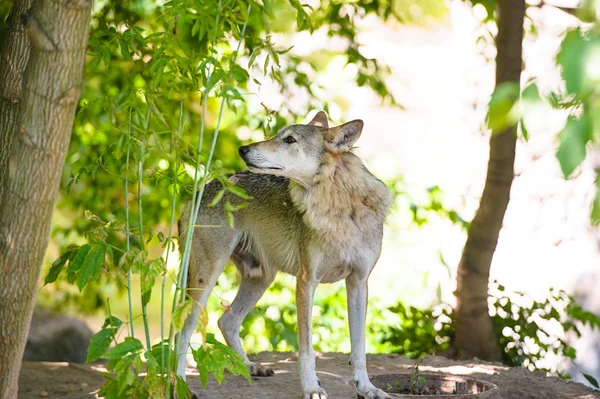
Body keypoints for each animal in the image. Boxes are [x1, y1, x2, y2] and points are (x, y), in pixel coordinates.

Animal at [177, 111, 394, 399]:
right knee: (183, 330)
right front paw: (312, 388)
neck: (340, 209)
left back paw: (250, 367)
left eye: (290, 139)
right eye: (278, 136)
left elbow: (359, 348)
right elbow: (307, 349)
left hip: (261, 278)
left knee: (227, 321)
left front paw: (367, 388)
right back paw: (177, 383)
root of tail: (203, 188)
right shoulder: (306, 282)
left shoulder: (359, 283)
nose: (243, 149)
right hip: (205, 281)